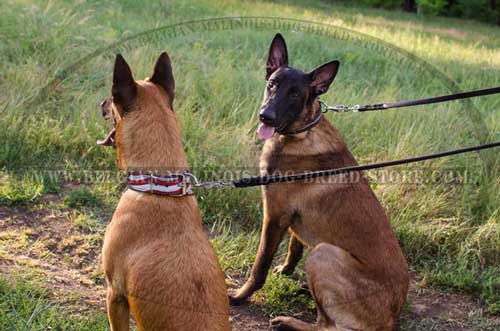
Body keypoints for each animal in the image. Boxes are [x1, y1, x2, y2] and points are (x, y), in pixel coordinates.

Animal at [230, 34, 410, 331]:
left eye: (295, 94)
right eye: (272, 84)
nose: (265, 116)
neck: (301, 133)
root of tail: (391, 319)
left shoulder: (275, 216)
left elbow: (260, 266)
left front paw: (240, 295)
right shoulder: (290, 219)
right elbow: (294, 247)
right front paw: (286, 271)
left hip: (324, 253)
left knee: (326, 325)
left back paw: (287, 321)